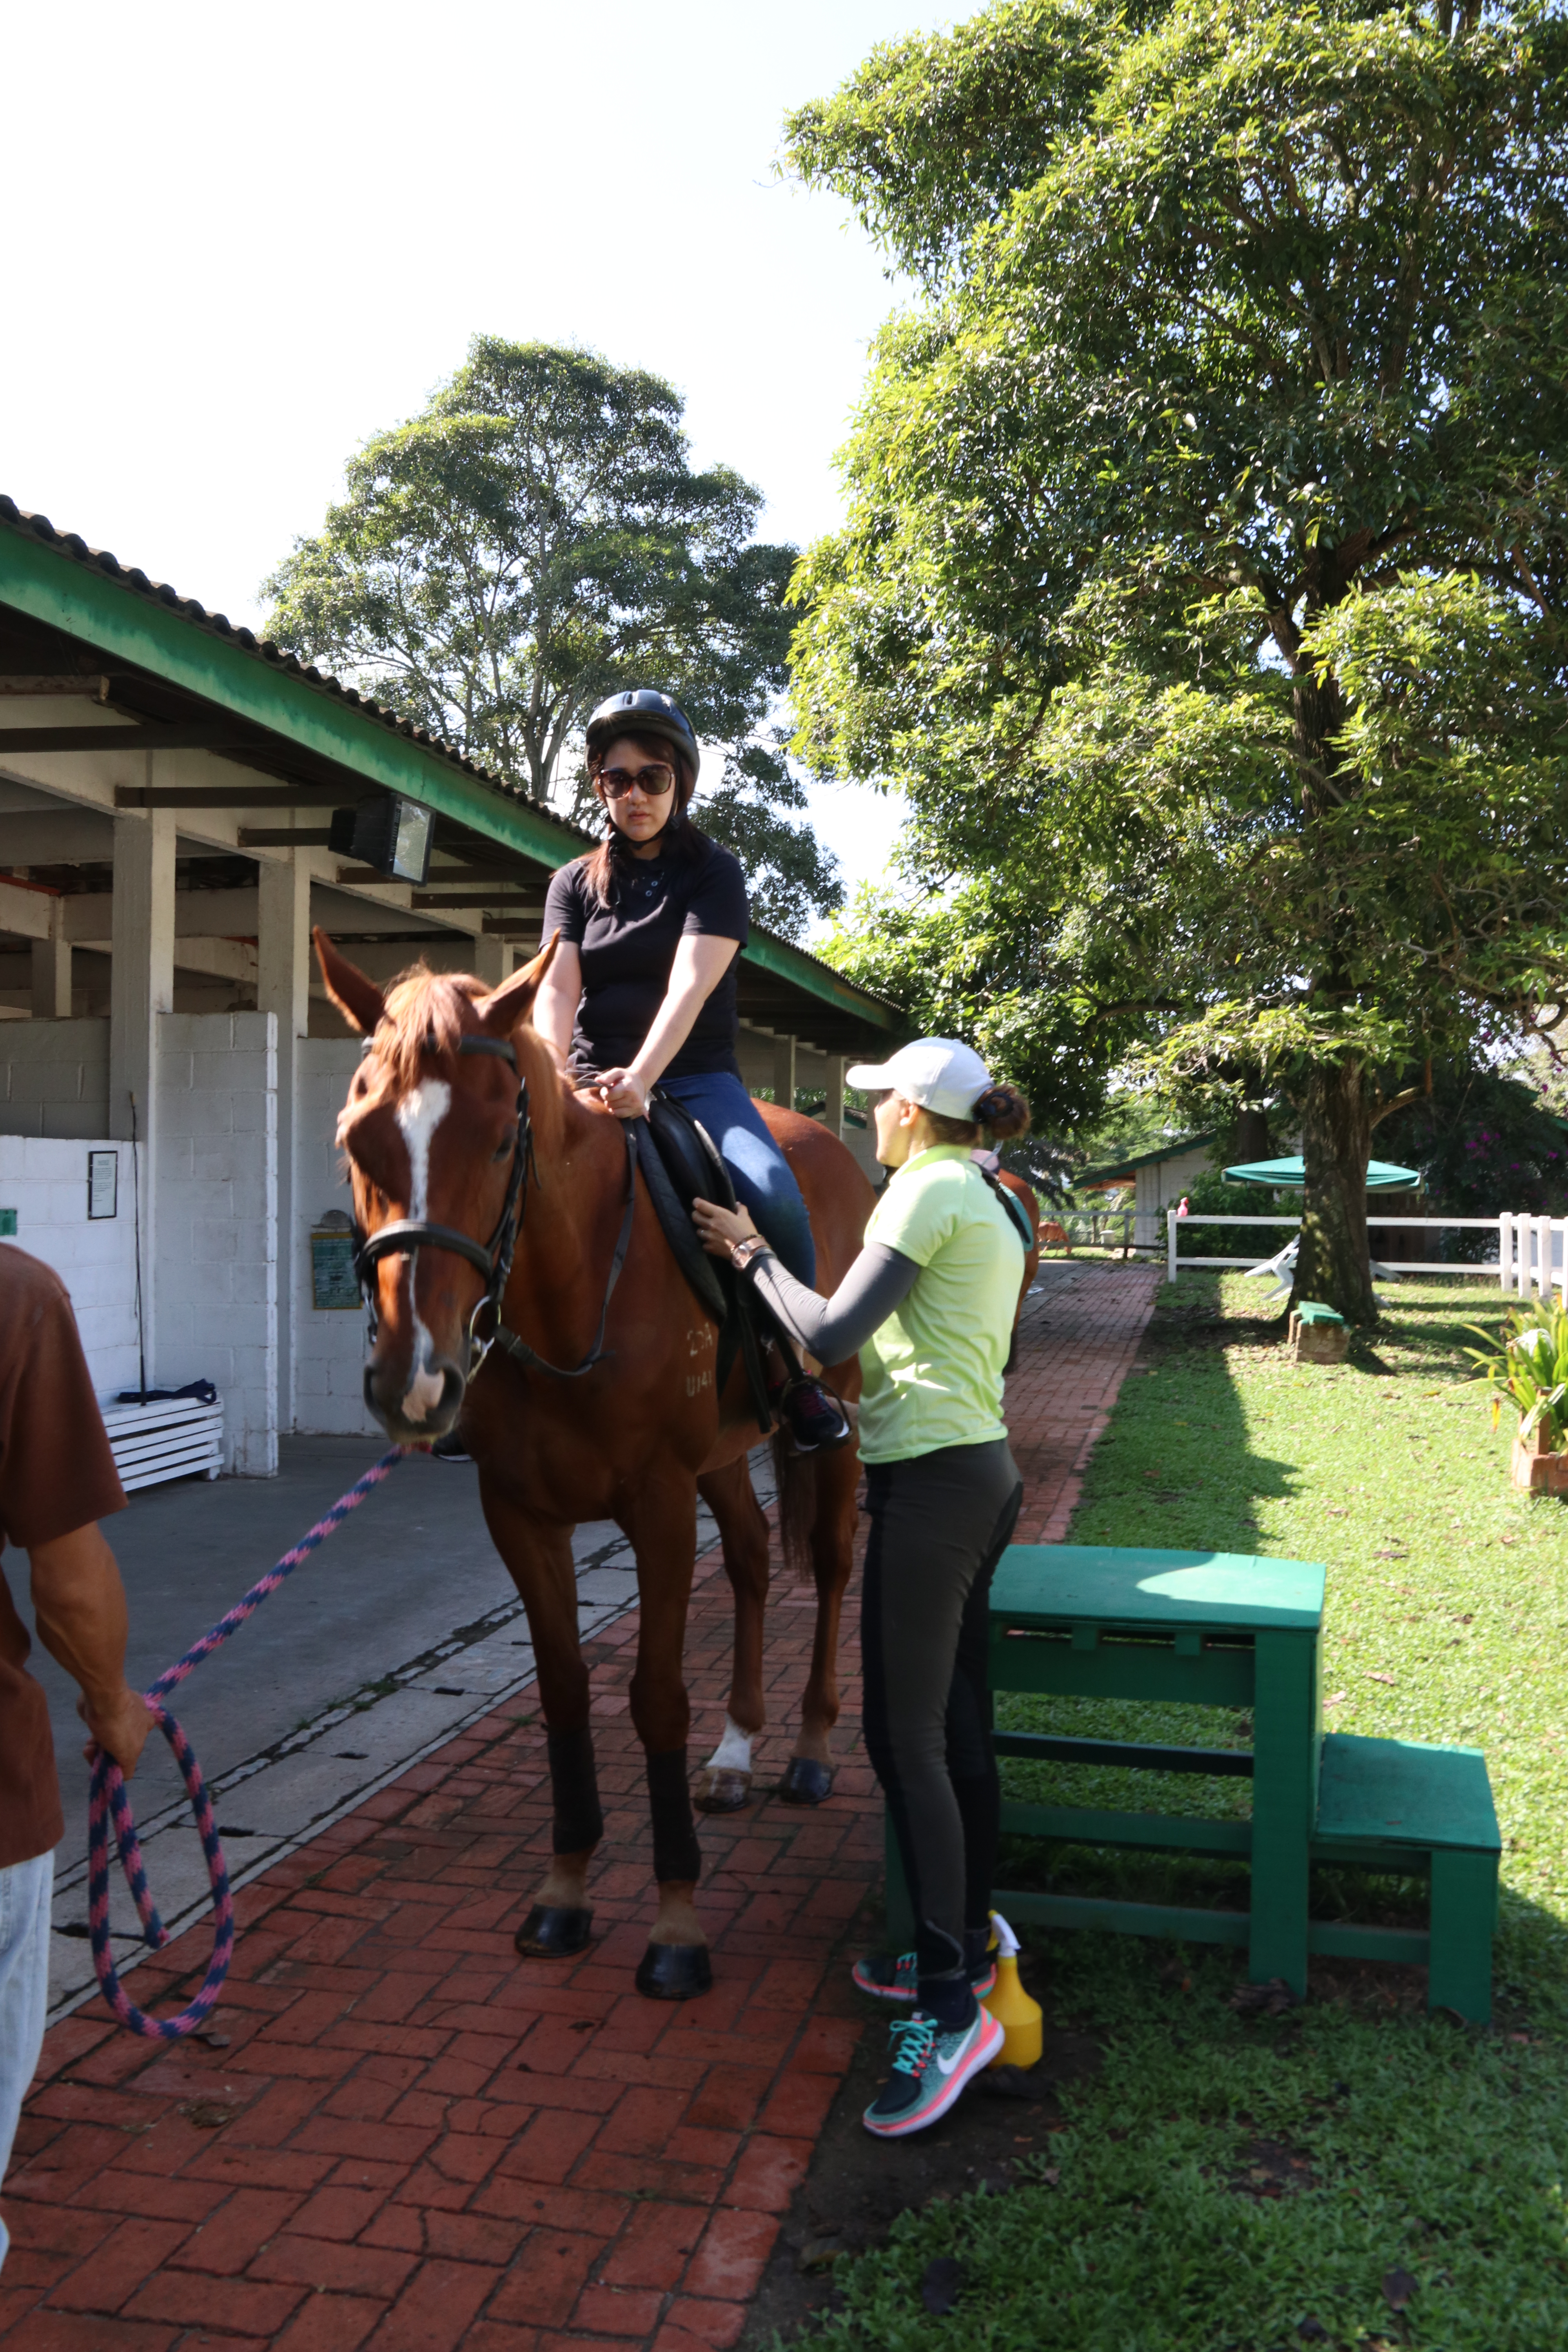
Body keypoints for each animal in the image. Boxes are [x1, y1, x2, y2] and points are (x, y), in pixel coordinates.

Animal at [315, 927, 878, 1998]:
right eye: (354, 1140)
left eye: (502, 1140)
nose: (415, 1379)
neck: (570, 1293)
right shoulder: (518, 1512)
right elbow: (564, 1689)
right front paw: (565, 1891)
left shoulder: (655, 1507)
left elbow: (653, 1699)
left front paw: (675, 1923)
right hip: (720, 1459)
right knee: (750, 1560)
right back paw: (737, 1751)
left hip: (843, 1411)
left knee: (828, 1565)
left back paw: (810, 1748)